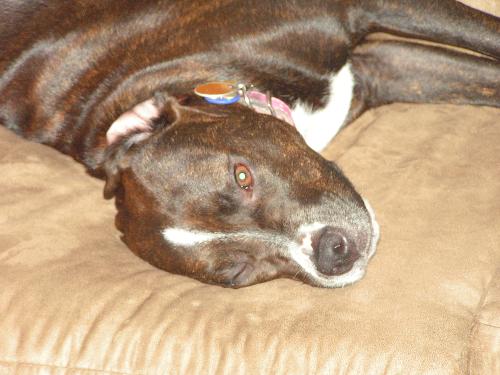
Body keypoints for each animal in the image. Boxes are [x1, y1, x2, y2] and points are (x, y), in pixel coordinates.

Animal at [0, 0, 498, 290]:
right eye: (238, 273)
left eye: (241, 175)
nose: (331, 254)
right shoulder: (383, 64)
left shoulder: (369, 10)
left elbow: (488, 38)